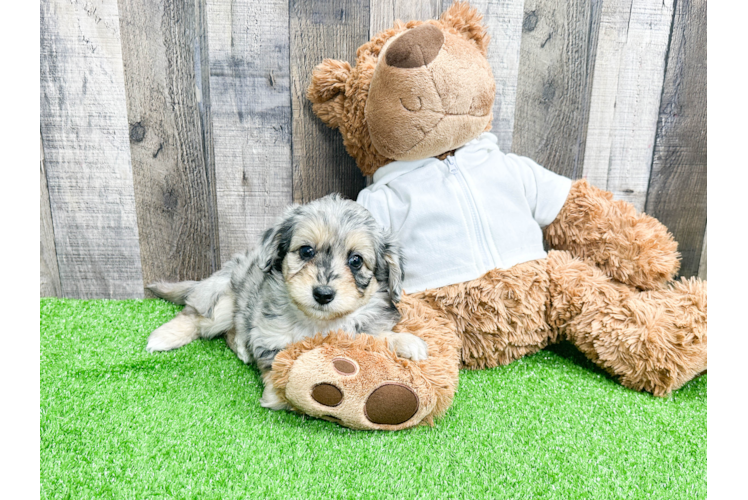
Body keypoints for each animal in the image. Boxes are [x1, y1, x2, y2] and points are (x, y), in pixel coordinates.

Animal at [146, 193, 426, 408]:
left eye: (356, 260)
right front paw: (277, 395)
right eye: (306, 251)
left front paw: (406, 342)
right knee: (194, 316)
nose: (323, 294)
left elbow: (373, 337)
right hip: (222, 303)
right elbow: (275, 362)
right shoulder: (269, 336)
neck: (317, 322)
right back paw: (163, 337)